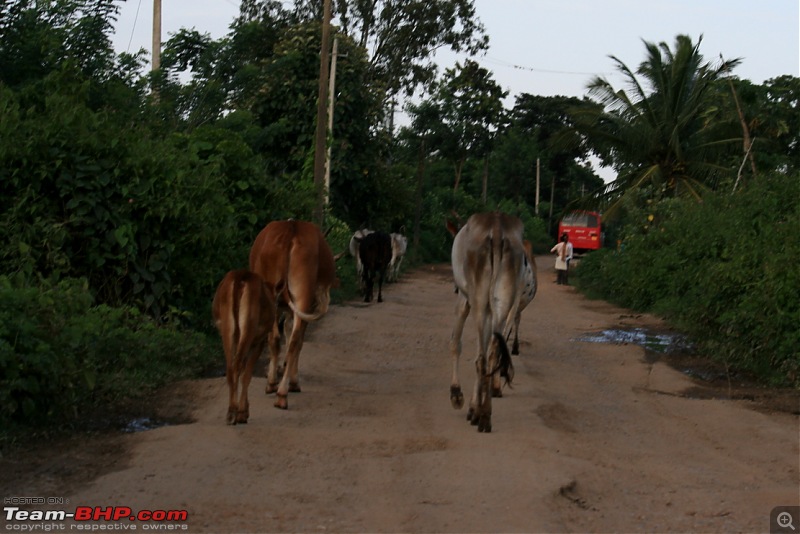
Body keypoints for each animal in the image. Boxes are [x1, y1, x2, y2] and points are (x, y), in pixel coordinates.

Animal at [211, 272, 280, 428]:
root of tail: (240, 278)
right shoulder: (259, 341)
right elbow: (247, 374)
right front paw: (243, 412)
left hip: (227, 329)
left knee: (231, 367)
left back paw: (231, 412)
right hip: (249, 326)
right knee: (238, 367)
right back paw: (235, 413)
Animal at [250, 220, 338, 412]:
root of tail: (291, 229)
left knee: (279, 339)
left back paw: (277, 387)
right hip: (300, 297)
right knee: (292, 340)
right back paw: (282, 391)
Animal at [446, 211, 528, 434]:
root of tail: (497, 227)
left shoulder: (464, 300)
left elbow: (456, 343)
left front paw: (457, 395)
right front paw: (474, 407)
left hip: (479, 300)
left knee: (481, 358)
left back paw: (481, 417)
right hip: (502, 302)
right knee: (492, 353)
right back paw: (485, 415)